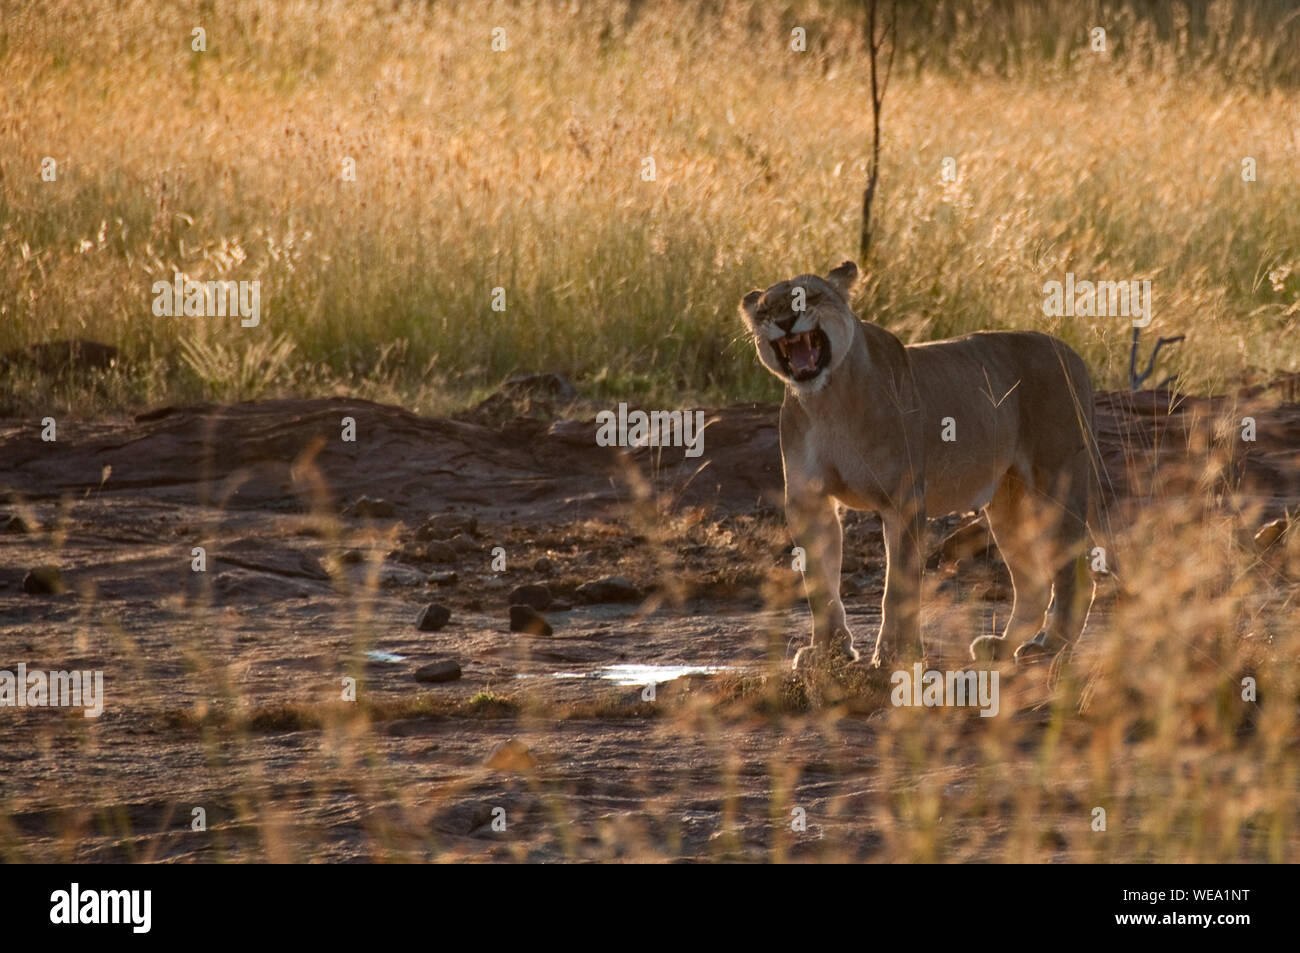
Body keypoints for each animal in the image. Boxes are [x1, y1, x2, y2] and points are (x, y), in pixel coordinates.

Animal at [739, 260, 1100, 670]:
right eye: (766, 310)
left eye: (811, 296)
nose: (785, 322)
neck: (827, 399)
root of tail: (1070, 352)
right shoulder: (808, 500)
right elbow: (820, 583)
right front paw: (828, 651)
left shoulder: (903, 497)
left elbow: (899, 587)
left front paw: (895, 654)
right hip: (1010, 502)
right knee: (1033, 582)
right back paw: (1003, 646)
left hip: (1056, 483)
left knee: (1074, 572)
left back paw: (1051, 645)